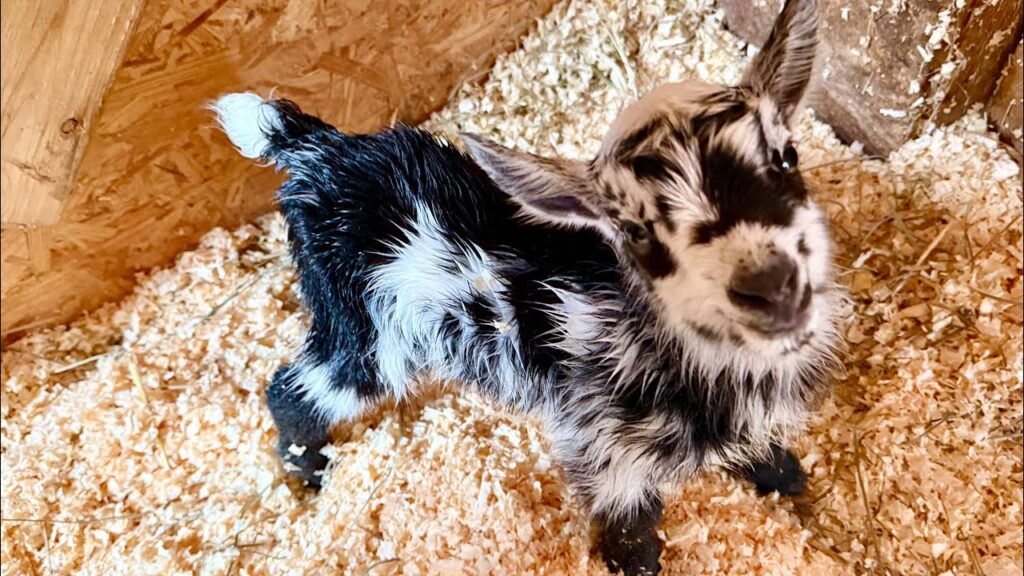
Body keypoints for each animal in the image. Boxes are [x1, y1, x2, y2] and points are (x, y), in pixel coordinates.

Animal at [213, 0, 840, 572]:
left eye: (787, 157)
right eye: (635, 230)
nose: (770, 284)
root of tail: (316, 150)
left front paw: (783, 474)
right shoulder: (603, 448)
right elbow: (630, 528)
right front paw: (639, 560)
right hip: (365, 327)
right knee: (293, 387)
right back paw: (309, 468)